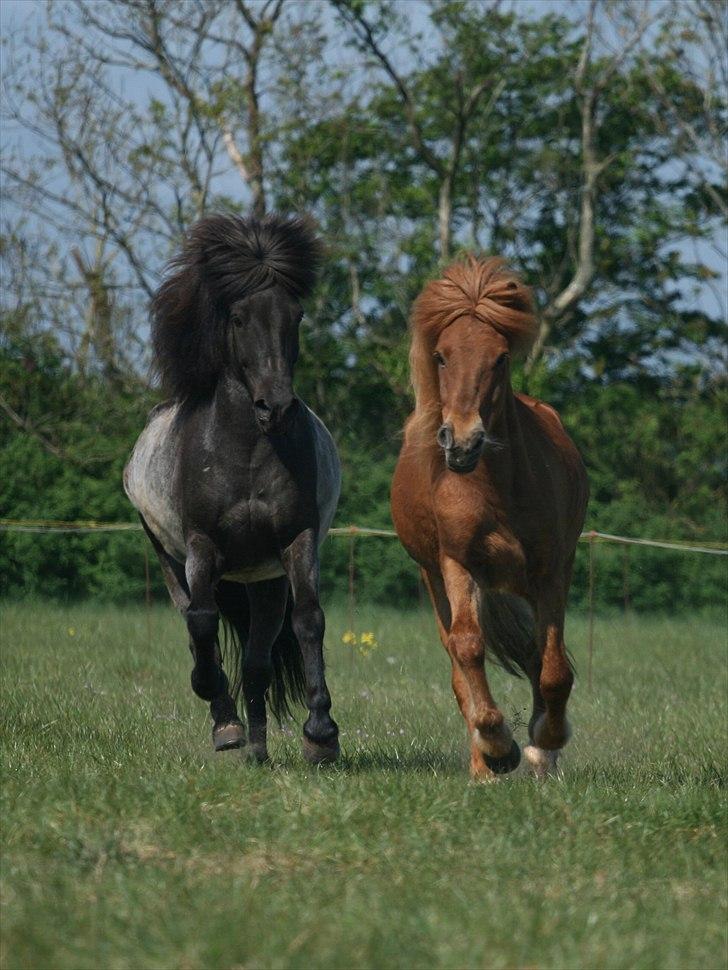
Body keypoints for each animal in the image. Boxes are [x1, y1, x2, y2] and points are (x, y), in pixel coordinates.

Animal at [125, 214, 342, 764]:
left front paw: (321, 734)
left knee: (258, 660)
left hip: (262, 581)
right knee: (194, 623)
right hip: (171, 560)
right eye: (239, 318)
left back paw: (260, 749)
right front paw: (224, 722)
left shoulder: (295, 542)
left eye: (296, 316)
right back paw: (231, 727)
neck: (246, 451)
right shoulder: (202, 546)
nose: (275, 407)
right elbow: (202, 623)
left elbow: (309, 621)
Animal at [390, 258, 588, 780]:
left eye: (499, 358)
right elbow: (468, 648)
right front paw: (499, 746)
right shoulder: (458, 564)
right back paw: (485, 766)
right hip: (435, 579)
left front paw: (545, 741)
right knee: (461, 669)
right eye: (440, 356)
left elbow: (553, 667)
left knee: (539, 660)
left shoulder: (551, 571)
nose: (462, 441)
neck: (498, 487)